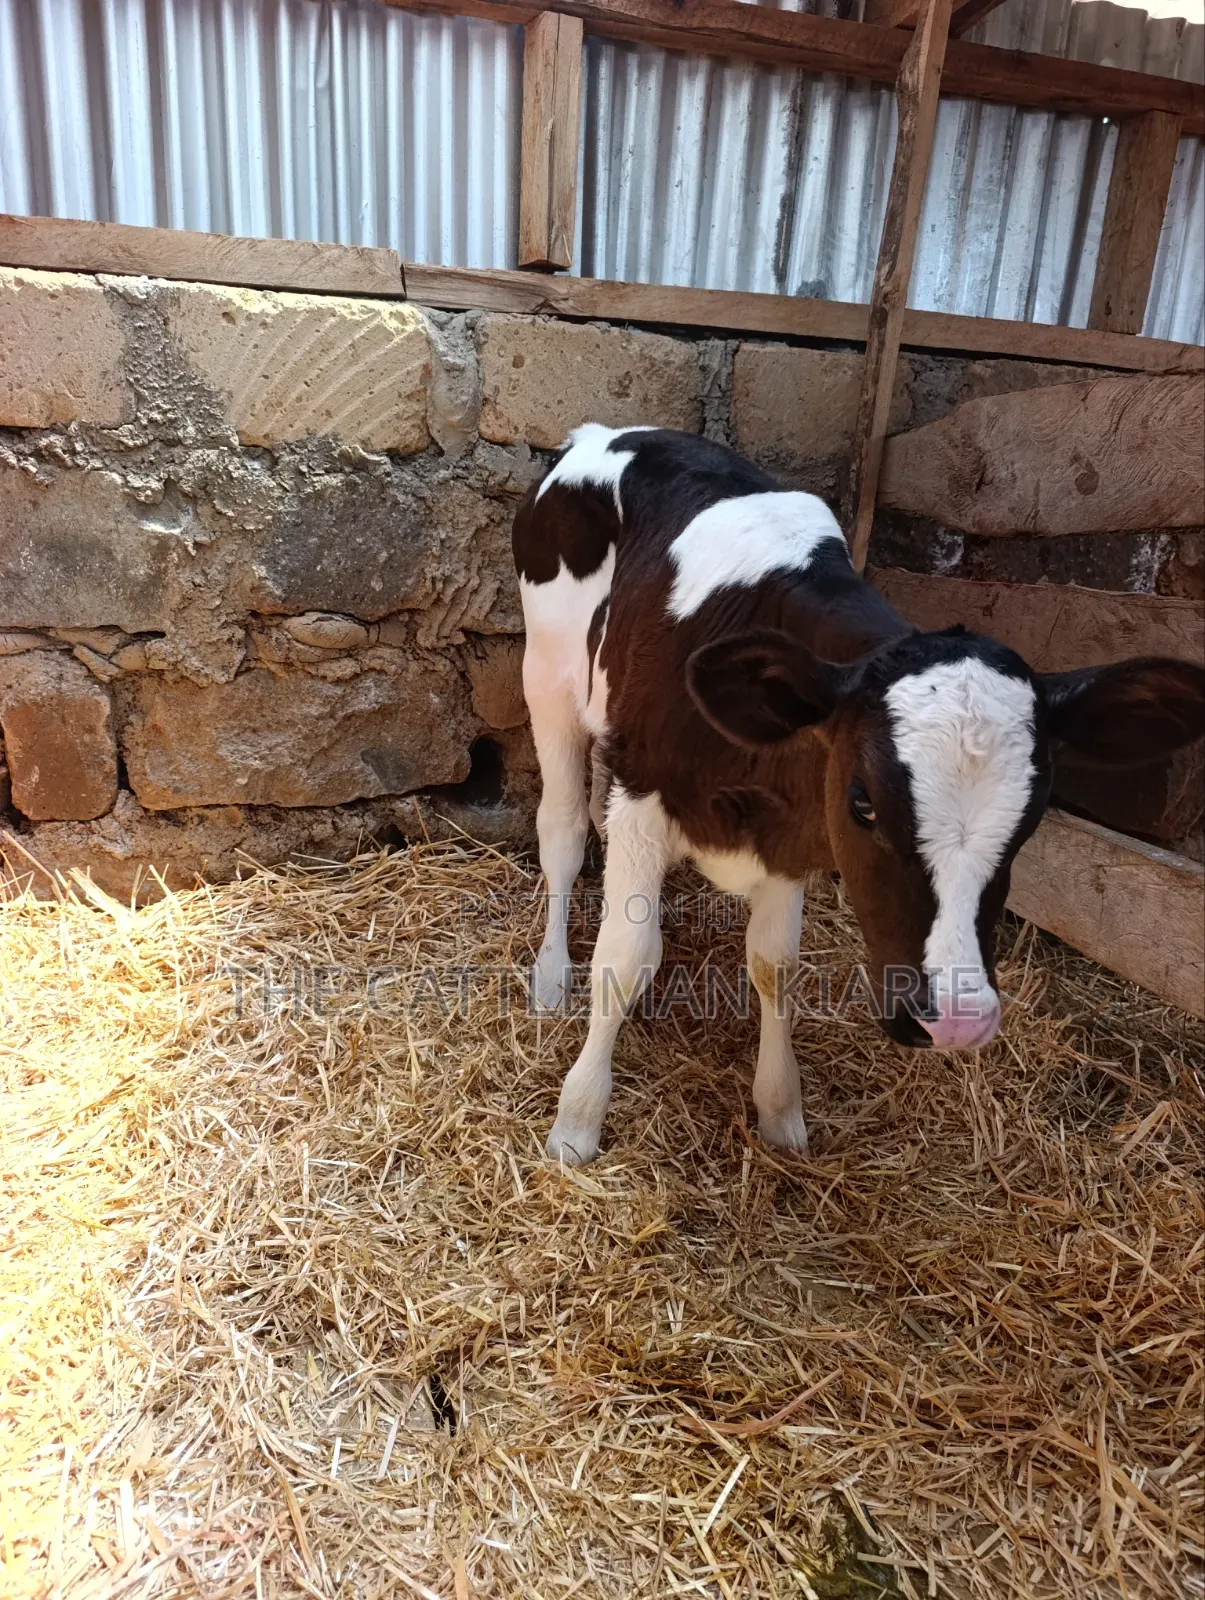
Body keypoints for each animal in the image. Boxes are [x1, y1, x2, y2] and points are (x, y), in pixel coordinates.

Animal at [512, 424, 1205, 1166]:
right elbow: (626, 954)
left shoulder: (788, 828)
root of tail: (606, 433)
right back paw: (551, 975)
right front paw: (577, 1121)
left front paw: (779, 1107)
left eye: (1030, 821)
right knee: (562, 830)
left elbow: (775, 966)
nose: (958, 1022)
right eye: (862, 802)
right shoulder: (645, 793)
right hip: (546, 676)